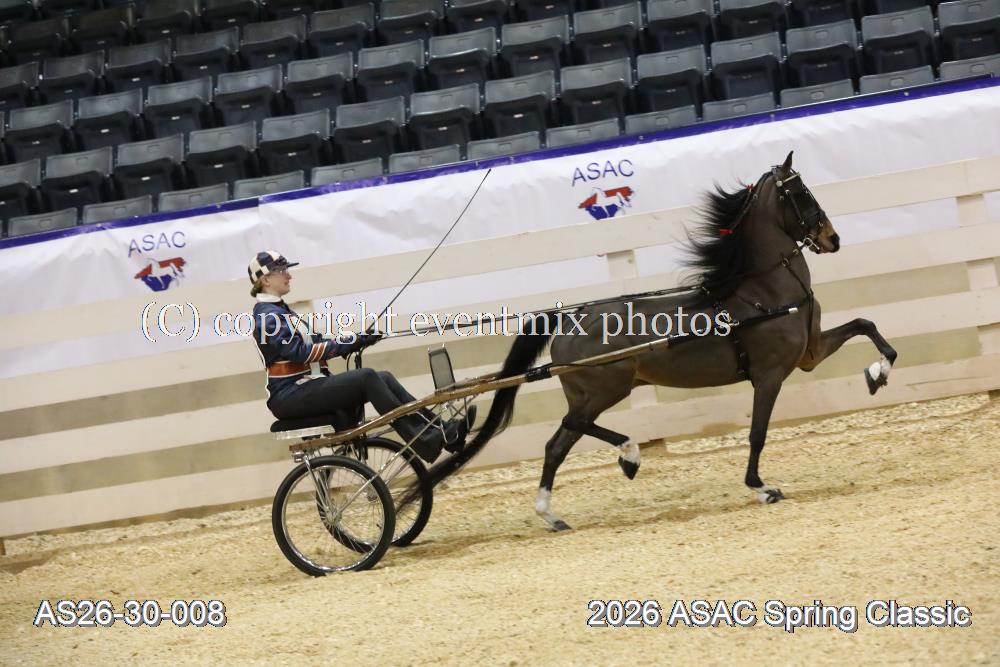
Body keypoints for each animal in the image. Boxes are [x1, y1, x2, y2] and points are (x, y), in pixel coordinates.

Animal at [408, 151, 899, 531]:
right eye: (801, 194)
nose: (832, 238)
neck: (763, 293)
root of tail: (571, 318)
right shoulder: (770, 376)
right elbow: (758, 434)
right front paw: (762, 488)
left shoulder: (809, 355)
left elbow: (867, 326)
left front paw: (877, 374)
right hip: (605, 390)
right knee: (570, 429)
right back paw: (629, 456)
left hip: (591, 393)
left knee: (558, 443)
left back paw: (553, 514)